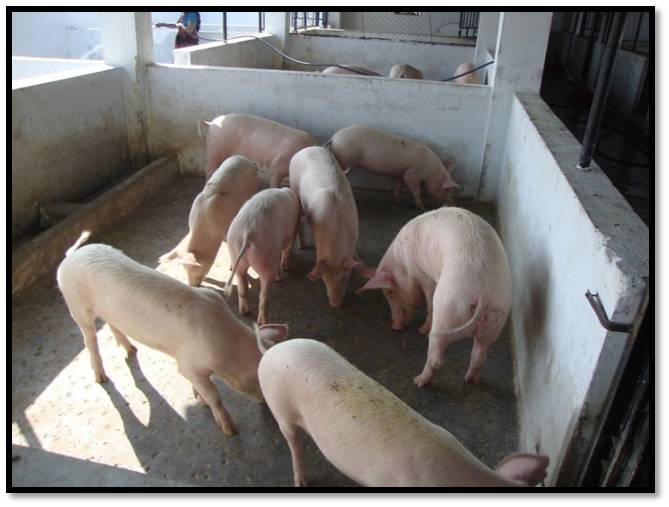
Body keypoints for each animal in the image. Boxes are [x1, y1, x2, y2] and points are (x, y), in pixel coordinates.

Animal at [57, 235, 289, 436]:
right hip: (77, 305)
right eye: (261, 380)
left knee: (113, 325)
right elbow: (214, 395)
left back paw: (132, 350)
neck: (227, 347)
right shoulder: (188, 364)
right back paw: (101, 377)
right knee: (89, 338)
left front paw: (198, 399)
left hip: (107, 310)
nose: (267, 404)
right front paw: (230, 430)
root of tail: (70, 258)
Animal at [225, 188, 300, 325]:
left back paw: (244, 312)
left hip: (234, 248)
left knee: (242, 286)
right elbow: (287, 249)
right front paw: (285, 267)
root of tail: (248, 232)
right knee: (263, 295)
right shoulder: (292, 230)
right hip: (266, 254)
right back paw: (263, 322)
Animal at [289, 146, 361, 308]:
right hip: (294, 184)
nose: (335, 304)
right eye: (325, 278)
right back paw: (302, 246)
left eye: (345, 277)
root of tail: (307, 148)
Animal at [325, 125, 459, 210]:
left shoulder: (400, 173)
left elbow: (398, 185)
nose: (453, 204)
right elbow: (415, 190)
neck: (430, 171)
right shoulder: (412, 174)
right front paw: (422, 207)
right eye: (448, 190)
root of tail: (334, 137)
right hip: (345, 156)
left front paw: (397, 200)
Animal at [357, 207, 512, 388]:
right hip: (496, 318)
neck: (403, 263)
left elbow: (429, 300)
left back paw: (418, 380)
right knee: (479, 354)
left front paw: (421, 329)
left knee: (437, 359)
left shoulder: (422, 275)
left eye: (391, 293)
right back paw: (471, 380)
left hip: (447, 312)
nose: (395, 326)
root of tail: (483, 293)